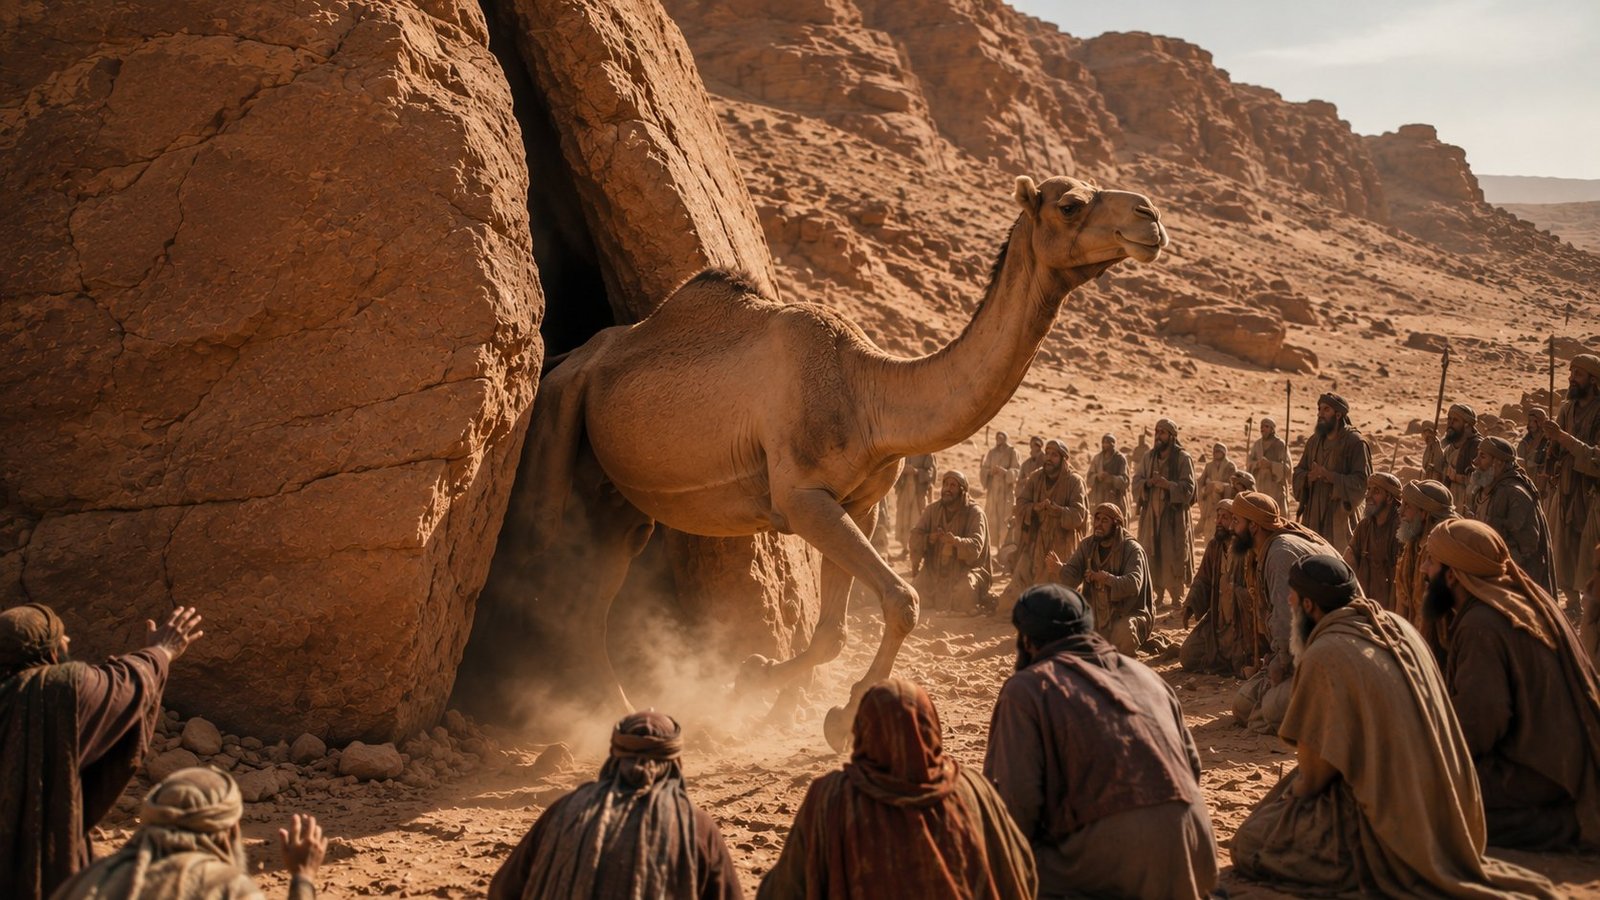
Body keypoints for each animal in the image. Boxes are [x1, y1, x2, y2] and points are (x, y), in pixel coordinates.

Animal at [518, 175, 1167, 749]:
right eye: (1070, 204)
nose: (1150, 217)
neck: (867, 392)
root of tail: (569, 358)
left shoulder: (860, 504)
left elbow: (832, 632)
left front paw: (770, 687)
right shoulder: (802, 498)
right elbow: (902, 601)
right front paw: (831, 707)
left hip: (618, 500)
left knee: (592, 597)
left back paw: (616, 711)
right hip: (558, 409)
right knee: (547, 559)